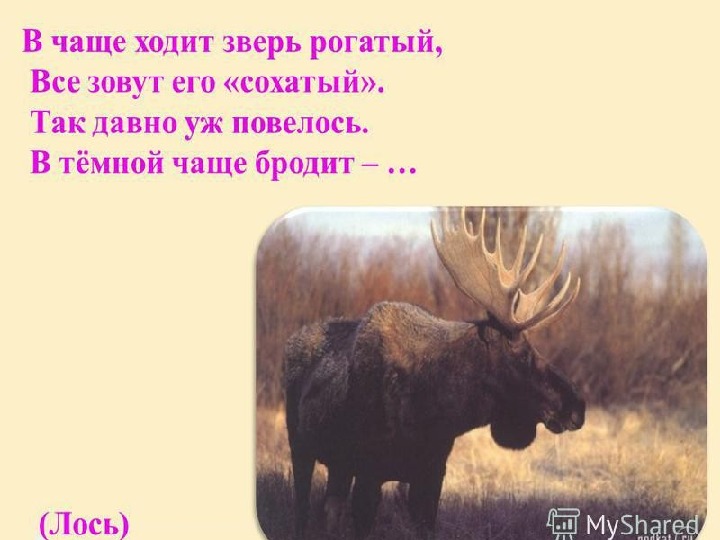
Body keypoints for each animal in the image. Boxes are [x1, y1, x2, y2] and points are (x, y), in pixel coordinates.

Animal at [283, 207, 585, 538]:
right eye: (522, 355)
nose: (577, 407)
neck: (436, 412)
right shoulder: (369, 471)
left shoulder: (431, 473)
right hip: (300, 446)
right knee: (302, 507)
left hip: (338, 464)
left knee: (329, 508)